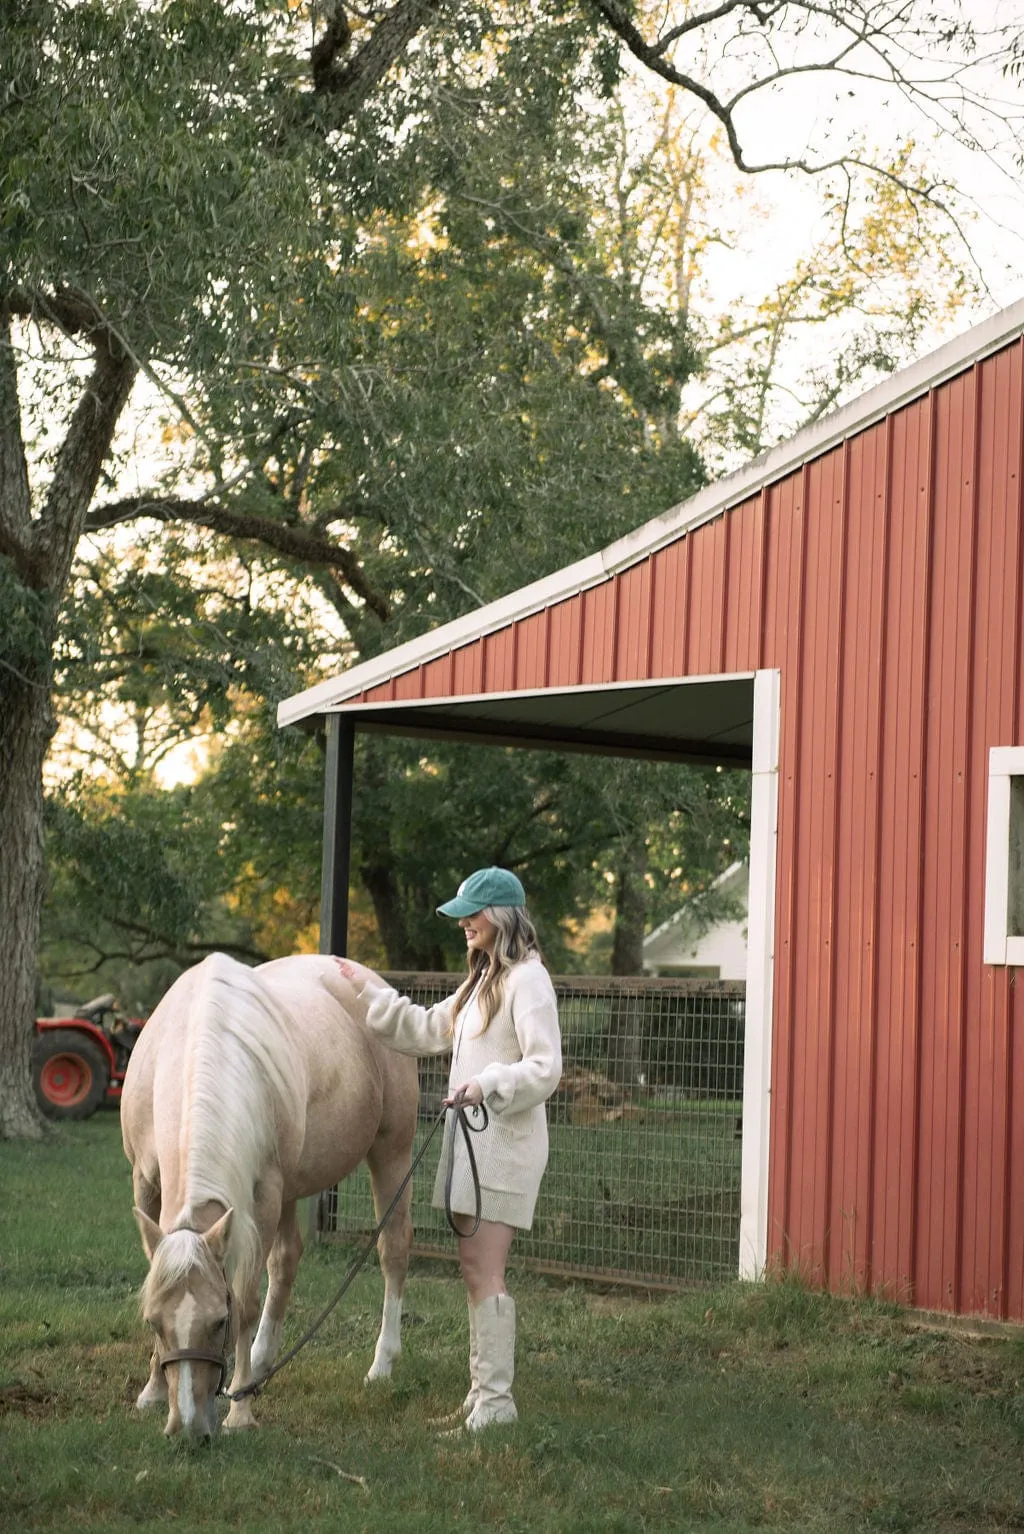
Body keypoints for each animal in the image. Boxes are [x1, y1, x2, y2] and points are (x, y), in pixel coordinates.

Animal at [121, 944, 416, 1435]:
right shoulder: (145, 1182)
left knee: (392, 1250)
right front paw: (152, 1391)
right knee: (287, 1258)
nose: (188, 1428)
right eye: (153, 1322)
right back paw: (260, 1363)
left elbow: (246, 1298)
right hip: (293, 1188)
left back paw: (382, 1364)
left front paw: (240, 1412)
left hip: (391, 1152)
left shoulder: (263, 1195)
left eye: (218, 1323)